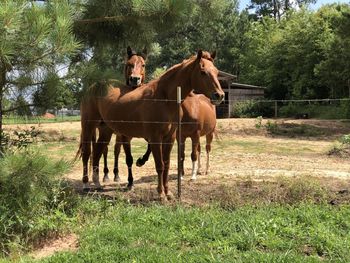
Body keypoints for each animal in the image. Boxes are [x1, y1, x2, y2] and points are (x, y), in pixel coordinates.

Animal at [77, 50, 223, 201]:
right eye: (202, 72)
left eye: (216, 72)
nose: (219, 95)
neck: (163, 97)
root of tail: (94, 87)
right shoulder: (155, 138)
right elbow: (159, 165)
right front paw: (161, 194)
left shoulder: (170, 139)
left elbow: (167, 164)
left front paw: (168, 193)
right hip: (88, 126)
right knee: (87, 153)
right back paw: (86, 184)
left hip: (106, 130)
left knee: (97, 152)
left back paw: (97, 183)